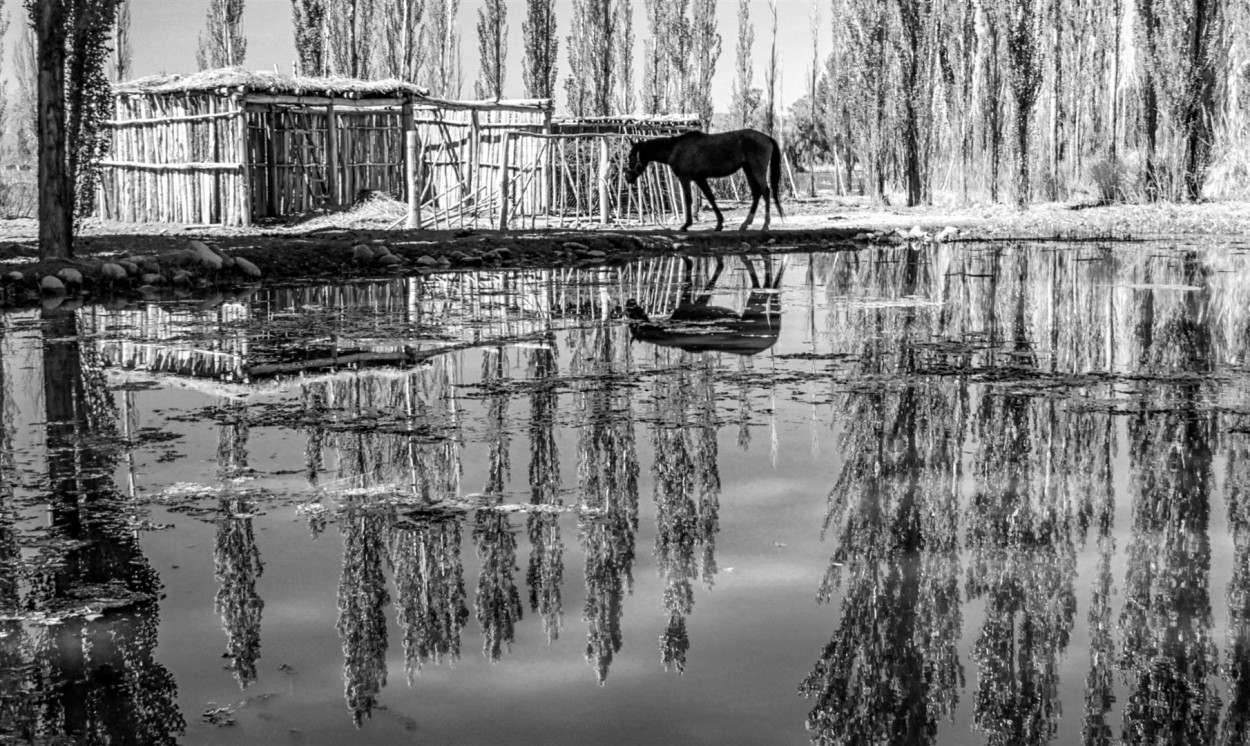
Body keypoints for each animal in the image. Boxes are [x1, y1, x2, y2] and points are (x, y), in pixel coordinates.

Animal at [622, 128, 785, 231]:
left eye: (631, 156)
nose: (627, 177)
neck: (675, 148)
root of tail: (767, 138)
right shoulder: (700, 179)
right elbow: (711, 198)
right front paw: (719, 224)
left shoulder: (685, 178)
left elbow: (688, 199)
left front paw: (686, 225)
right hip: (748, 170)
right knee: (757, 193)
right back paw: (745, 224)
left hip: (757, 169)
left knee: (766, 192)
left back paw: (765, 225)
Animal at [622, 254, 785, 357]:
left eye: (633, 312)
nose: (629, 301)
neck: (668, 331)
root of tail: (771, 341)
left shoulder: (687, 305)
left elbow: (697, 279)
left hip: (755, 308)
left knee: (763, 284)